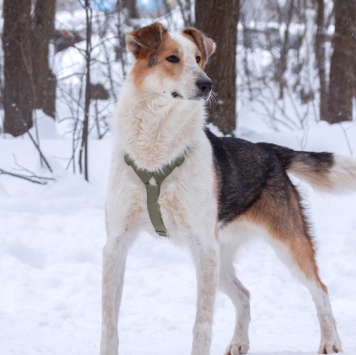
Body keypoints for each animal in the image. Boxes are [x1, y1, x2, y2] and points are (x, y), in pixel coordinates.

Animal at [99, 22, 356, 355]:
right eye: (172, 58)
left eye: (198, 58)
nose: (206, 84)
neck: (156, 152)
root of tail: (270, 151)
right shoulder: (116, 245)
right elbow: (109, 323)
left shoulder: (203, 249)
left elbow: (202, 326)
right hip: (219, 260)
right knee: (245, 295)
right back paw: (239, 343)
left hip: (283, 247)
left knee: (321, 290)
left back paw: (330, 341)